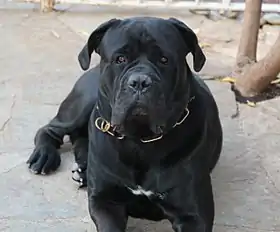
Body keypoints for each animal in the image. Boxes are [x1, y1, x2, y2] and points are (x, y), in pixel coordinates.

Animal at [26, 16, 223, 232]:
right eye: (120, 59)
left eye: (164, 60)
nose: (140, 81)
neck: (140, 142)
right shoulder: (105, 202)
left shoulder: (193, 215)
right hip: (81, 104)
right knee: (50, 130)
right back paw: (44, 157)